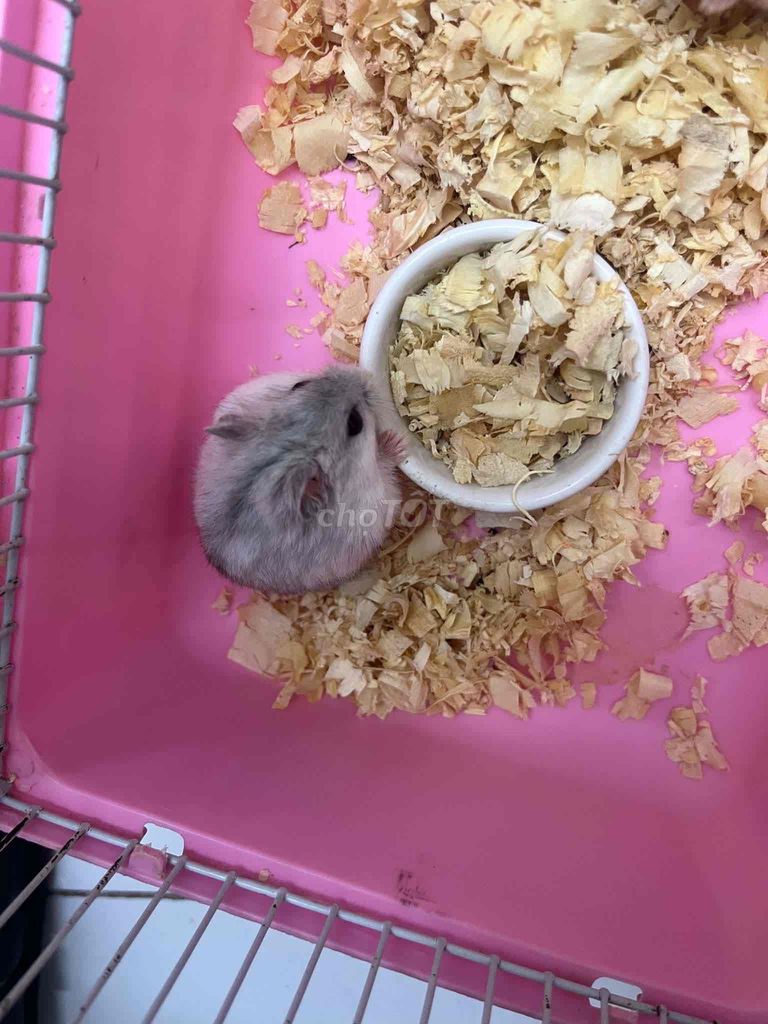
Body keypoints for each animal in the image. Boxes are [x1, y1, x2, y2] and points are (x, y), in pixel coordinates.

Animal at [194, 365, 404, 595]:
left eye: (299, 385)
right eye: (355, 422)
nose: (363, 373)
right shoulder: (376, 492)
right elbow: (385, 466)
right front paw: (396, 442)